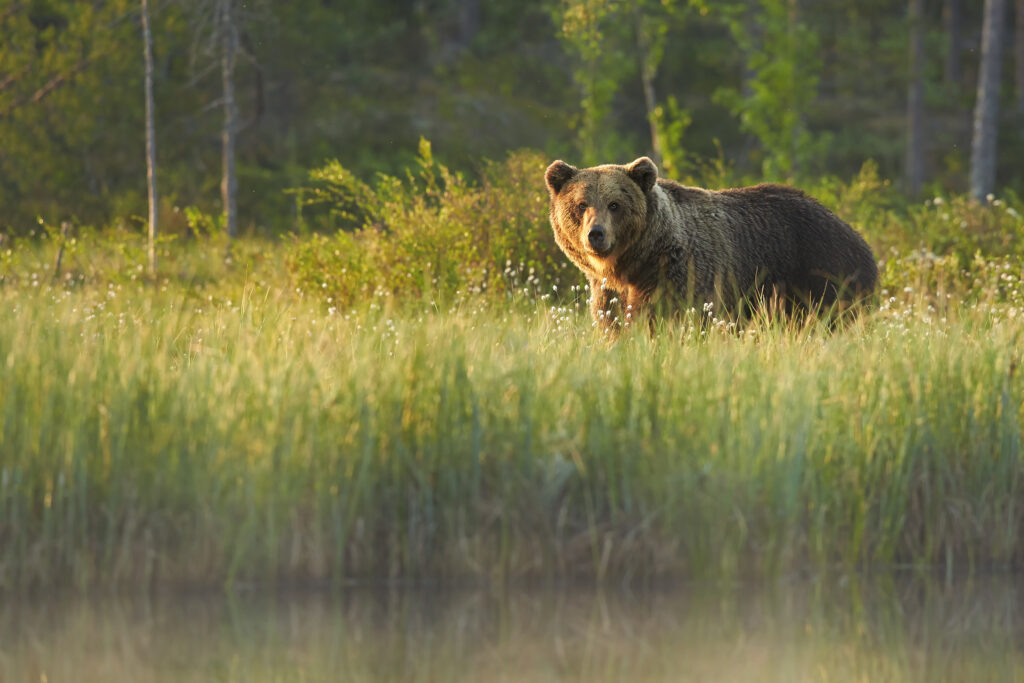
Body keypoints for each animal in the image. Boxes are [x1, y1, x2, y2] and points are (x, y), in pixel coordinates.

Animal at [544, 158, 880, 333]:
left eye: (615, 204)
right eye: (581, 204)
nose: (596, 234)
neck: (635, 263)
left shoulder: (682, 275)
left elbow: (668, 319)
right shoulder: (608, 291)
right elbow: (613, 323)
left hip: (823, 273)